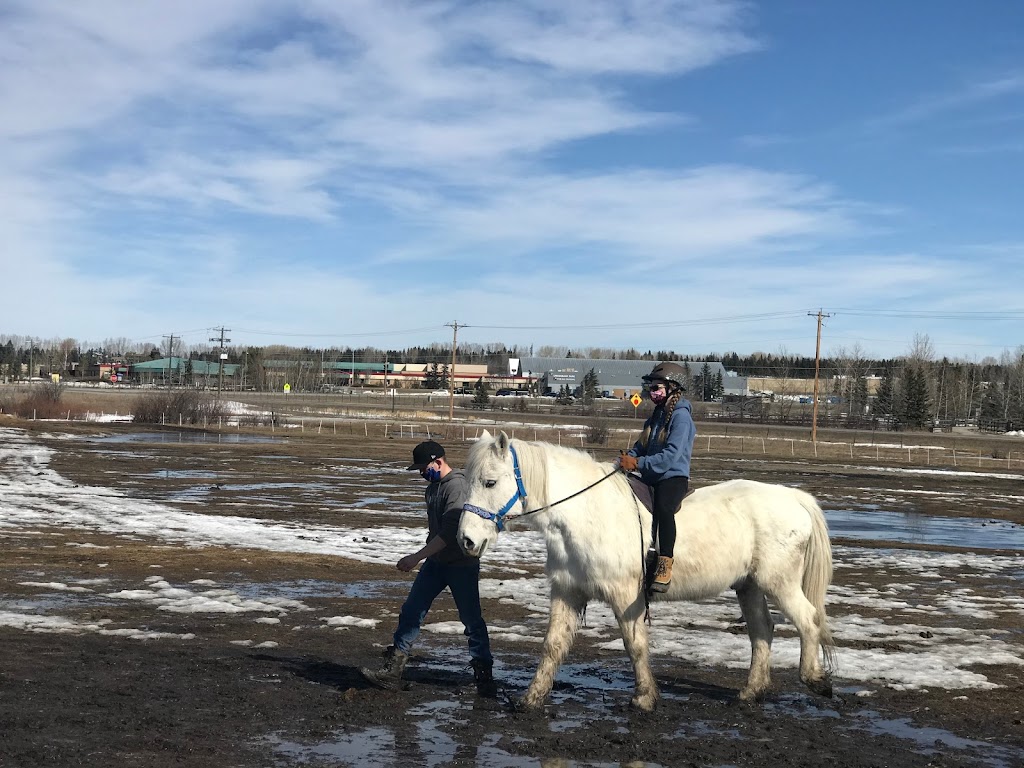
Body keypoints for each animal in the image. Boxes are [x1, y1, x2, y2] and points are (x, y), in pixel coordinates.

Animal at [460, 434, 835, 716]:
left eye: (490, 482)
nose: (466, 540)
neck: (584, 512)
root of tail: (794, 497)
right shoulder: (567, 591)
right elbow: (552, 645)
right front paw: (532, 698)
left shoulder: (626, 594)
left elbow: (635, 644)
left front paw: (644, 698)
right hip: (750, 586)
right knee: (762, 630)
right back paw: (752, 692)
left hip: (779, 582)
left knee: (808, 620)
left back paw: (815, 679)